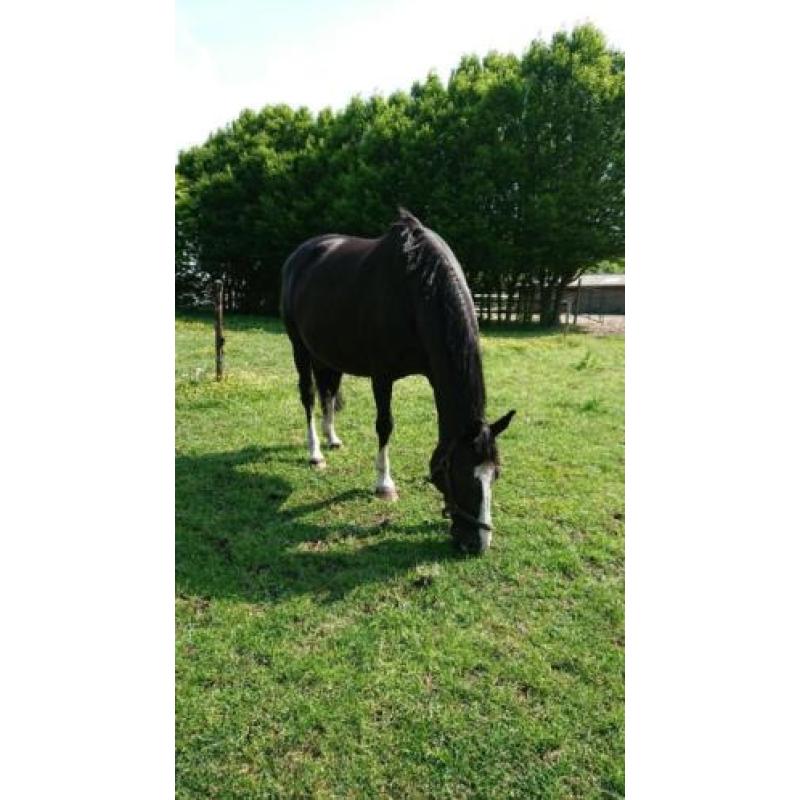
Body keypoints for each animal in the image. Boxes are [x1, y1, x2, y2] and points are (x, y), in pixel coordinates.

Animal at [280, 209, 515, 554]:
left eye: (495, 474)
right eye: (460, 474)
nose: (477, 543)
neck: (415, 290)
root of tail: (300, 254)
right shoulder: (382, 375)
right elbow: (385, 425)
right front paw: (384, 485)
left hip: (328, 355)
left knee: (328, 392)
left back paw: (332, 438)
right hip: (299, 347)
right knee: (309, 396)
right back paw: (315, 453)